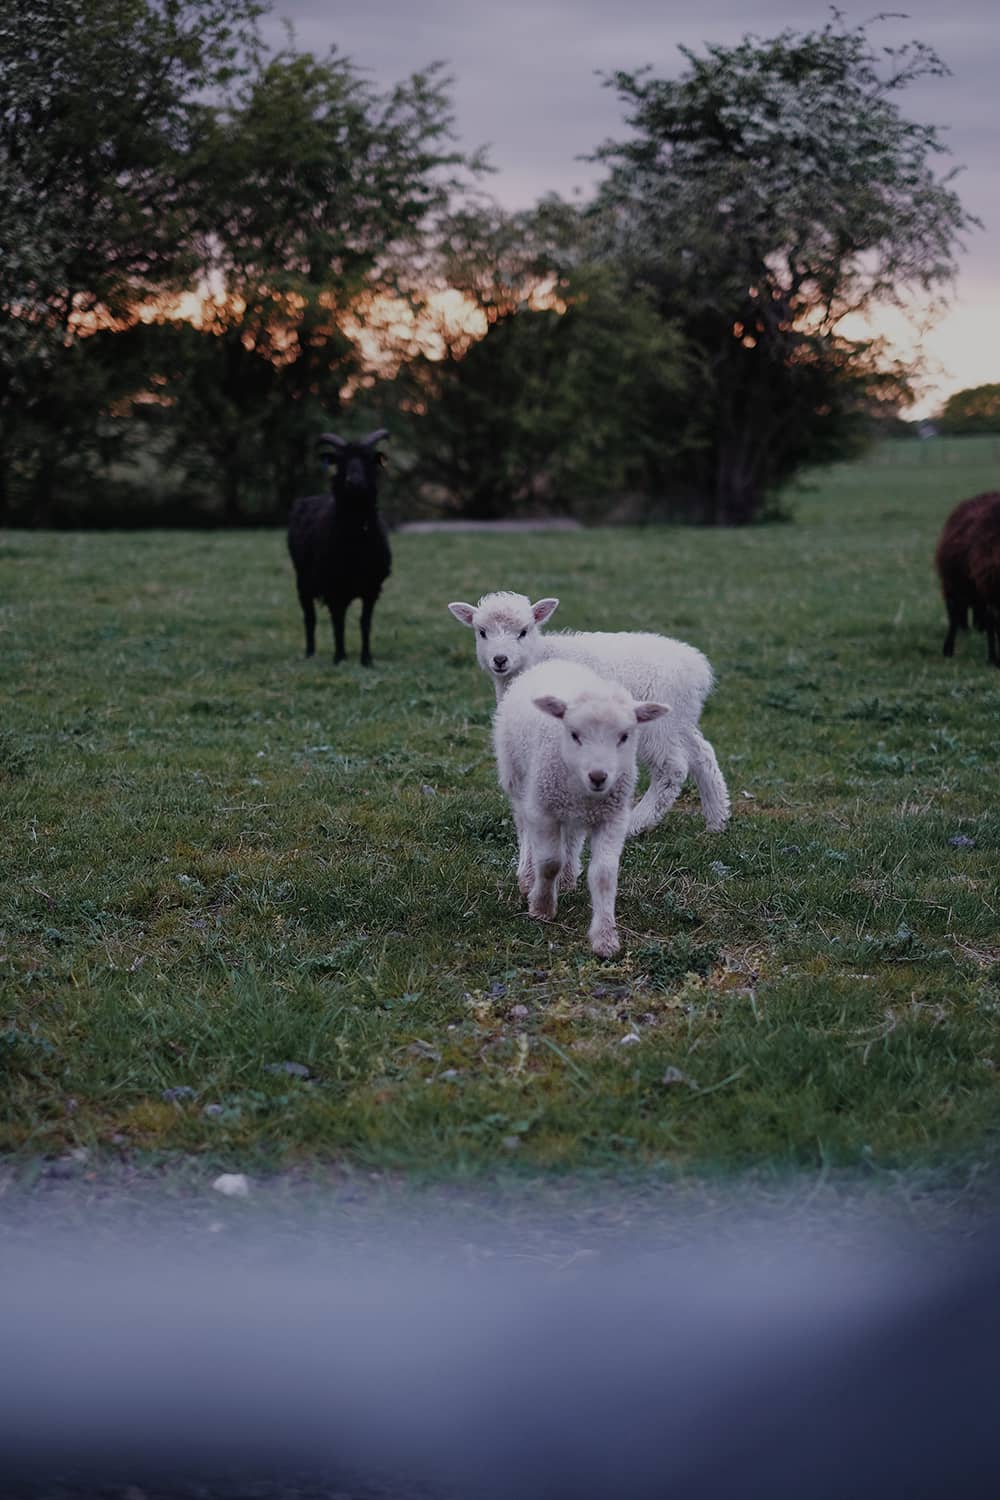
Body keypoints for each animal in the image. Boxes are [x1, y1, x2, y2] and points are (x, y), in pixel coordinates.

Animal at [287, 429, 392, 666]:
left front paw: (366, 660)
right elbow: (338, 623)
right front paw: (339, 658)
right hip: (303, 582)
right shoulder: (334, 588)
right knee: (310, 618)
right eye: (341, 461)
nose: (354, 482)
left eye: (368, 459)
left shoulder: (371, 588)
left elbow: (365, 623)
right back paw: (310, 653)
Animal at [448, 591, 730, 836]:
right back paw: (717, 819)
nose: (500, 659)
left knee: (672, 768)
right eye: (482, 632)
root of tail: (697, 669)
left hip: (658, 723)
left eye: (523, 631)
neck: (539, 656)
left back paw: (636, 823)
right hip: (680, 718)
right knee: (702, 753)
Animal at [493, 659, 670, 957]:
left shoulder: (613, 818)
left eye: (624, 736)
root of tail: (555, 662)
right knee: (524, 827)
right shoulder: (543, 809)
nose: (598, 776)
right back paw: (527, 877)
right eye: (574, 734)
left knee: (573, 837)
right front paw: (541, 906)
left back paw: (566, 879)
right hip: (517, 778)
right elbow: (549, 862)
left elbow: (604, 875)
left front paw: (605, 938)